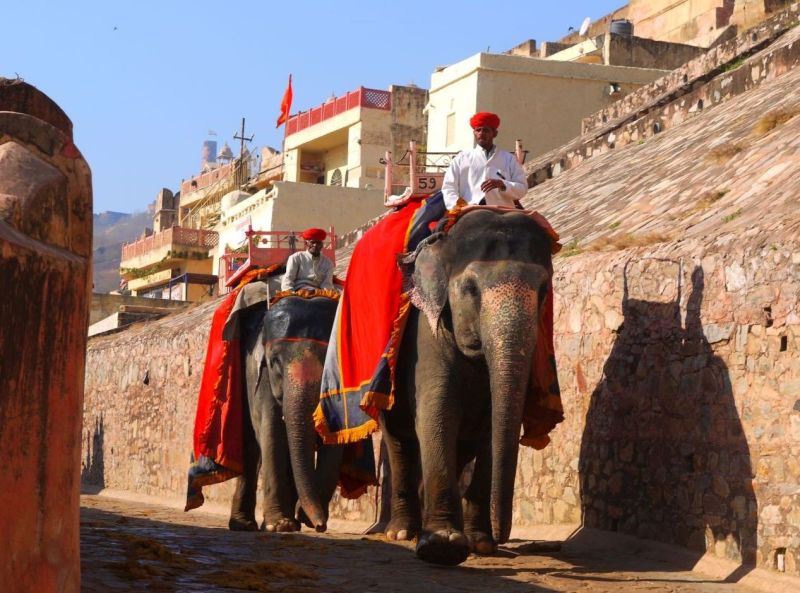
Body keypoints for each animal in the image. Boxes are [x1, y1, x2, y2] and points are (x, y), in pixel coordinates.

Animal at [227, 284, 343, 533]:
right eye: (275, 362)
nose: (320, 525)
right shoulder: (261, 378)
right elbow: (272, 433)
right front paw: (279, 525)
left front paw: (304, 517)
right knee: (251, 446)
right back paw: (243, 524)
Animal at [381, 208, 558, 565]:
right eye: (471, 289)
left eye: (544, 290)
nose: (503, 535)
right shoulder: (426, 335)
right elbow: (438, 413)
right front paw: (442, 545)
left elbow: (493, 427)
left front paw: (481, 544)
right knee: (399, 441)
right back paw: (402, 532)